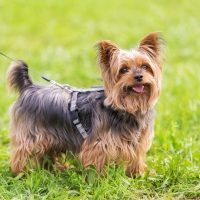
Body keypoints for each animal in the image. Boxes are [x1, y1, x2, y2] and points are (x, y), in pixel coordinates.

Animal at [7, 32, 164, 176]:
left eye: (145, 66)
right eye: (123, 70)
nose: (139, 76)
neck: (128, 107)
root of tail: (29, 87)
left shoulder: (139, 141)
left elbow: (137, 158)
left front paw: (137, 174)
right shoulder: (98, 144)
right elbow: (96, 163)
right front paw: (99, 180)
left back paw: (53, 169)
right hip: (31, 134)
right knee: (21, 153)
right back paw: (21, 173)